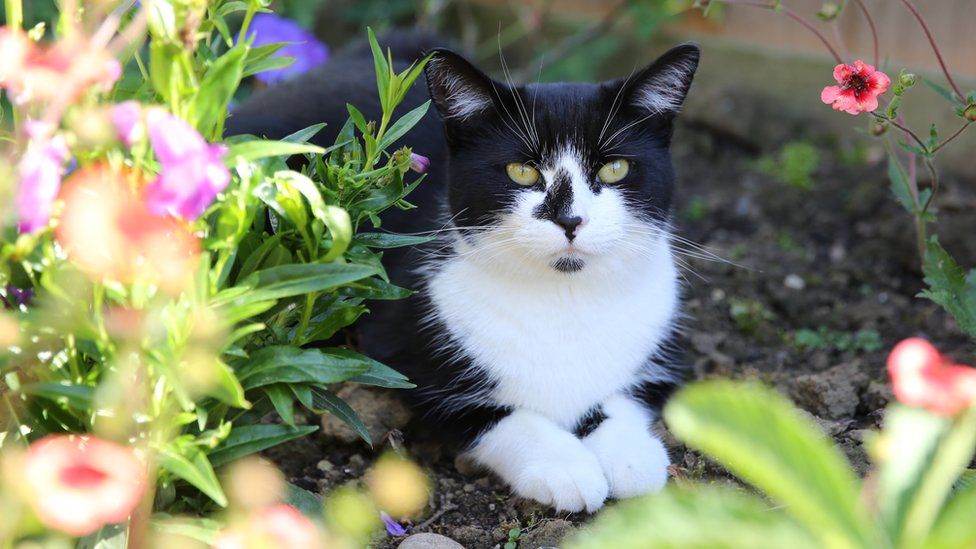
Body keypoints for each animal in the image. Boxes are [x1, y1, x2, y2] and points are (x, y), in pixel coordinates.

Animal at [227, 32, 700, 512]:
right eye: (521, 171)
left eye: (615, 168)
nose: (570, 220)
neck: (564, 297)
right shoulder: (405, 349)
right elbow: (492, 414)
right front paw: (564, 467)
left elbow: (625, 397)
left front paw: (632, 456)